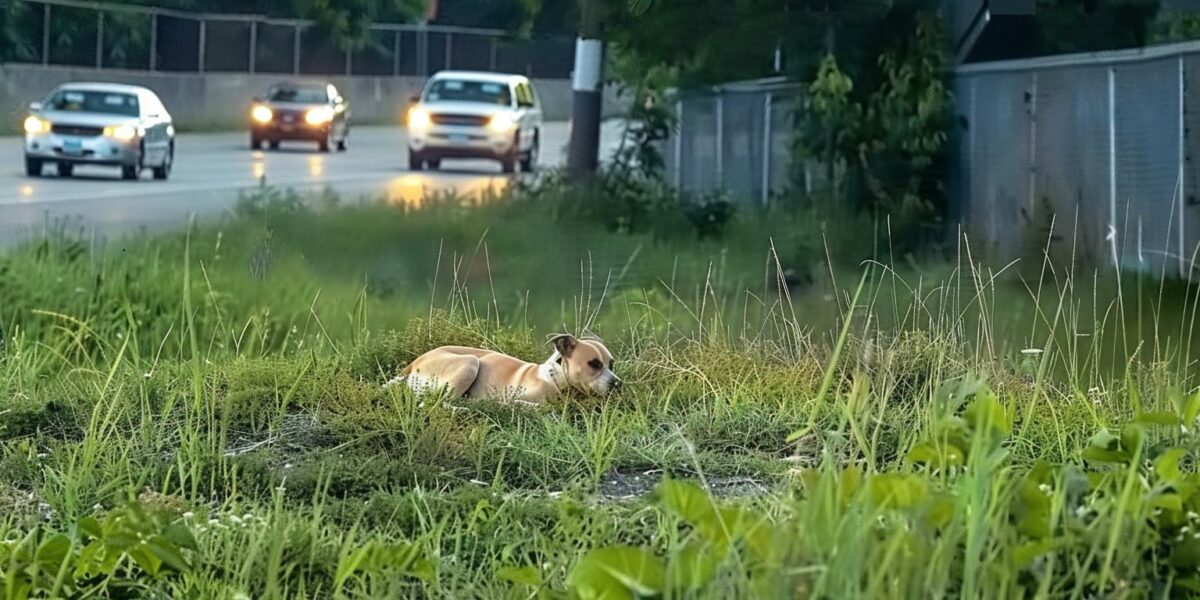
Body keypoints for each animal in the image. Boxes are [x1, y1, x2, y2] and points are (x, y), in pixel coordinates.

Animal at [388, 333, 624, 403]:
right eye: (594, 363)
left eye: (611, 363)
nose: (618, 384)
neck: (554, 378)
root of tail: (414, 363)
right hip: (470, 363)